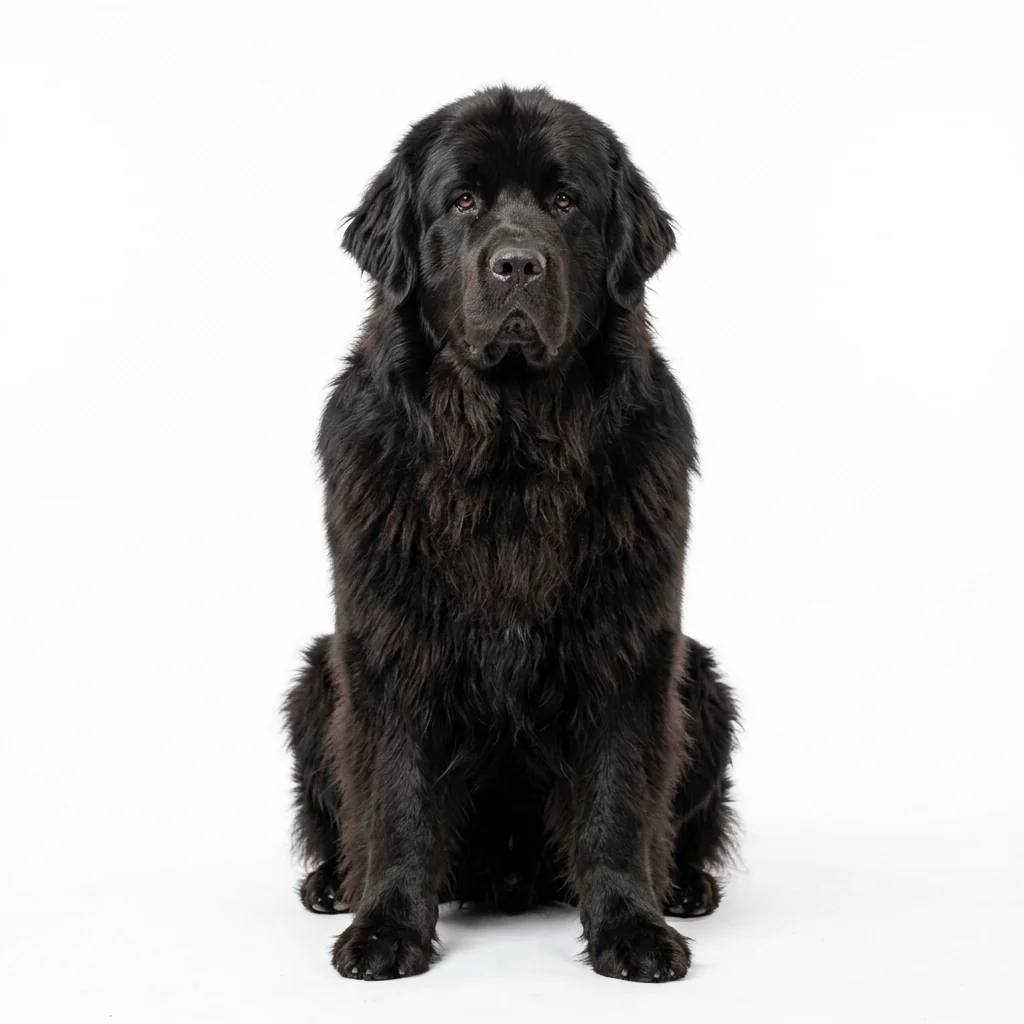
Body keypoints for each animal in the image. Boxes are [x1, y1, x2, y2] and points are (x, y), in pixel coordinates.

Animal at [284, 85, 738, 983]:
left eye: (565, 203)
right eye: (463, 202)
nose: (518, 265)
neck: (509, 447)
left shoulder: (628, 641)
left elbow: (620, 799)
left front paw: (633, 928)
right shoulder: (388, 642)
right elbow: (393, 795)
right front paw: (385, 927)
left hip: (701, 677)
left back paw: (684, 887)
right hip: (318, 675)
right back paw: (332, 885)